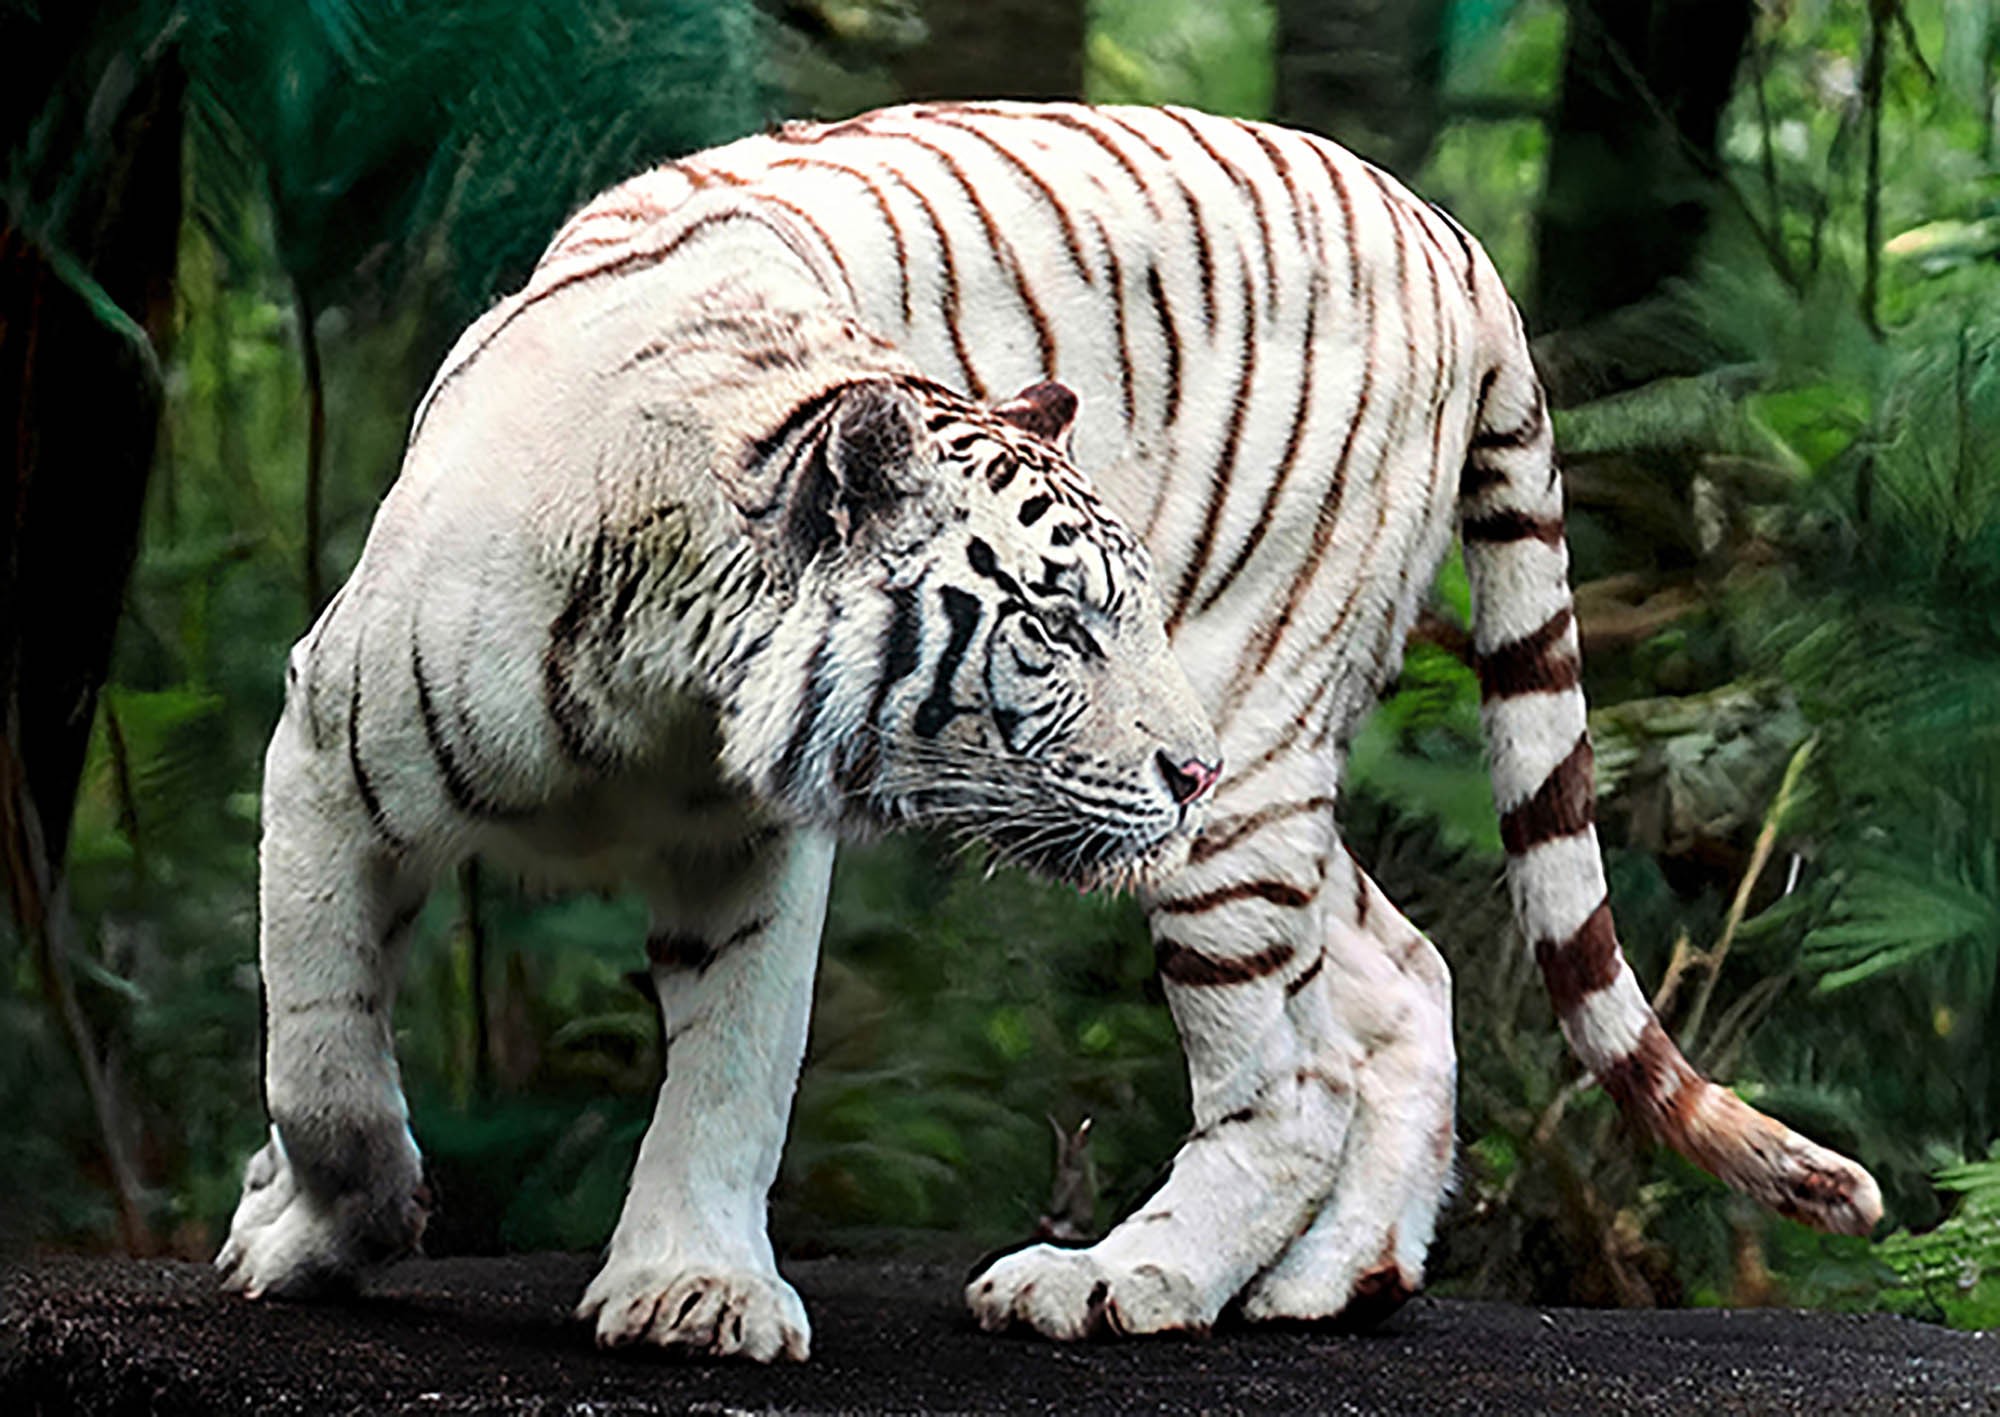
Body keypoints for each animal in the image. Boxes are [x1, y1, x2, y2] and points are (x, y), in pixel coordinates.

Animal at [218, 101, 1881, 1362]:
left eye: (1118, 613)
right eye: (1060, 623)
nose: (1181, 758)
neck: (667, 682)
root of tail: (1455, 240)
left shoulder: (756, 851)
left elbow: (731, 1071)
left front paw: (691, 1291)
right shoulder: (326, 760)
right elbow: (324, 1065)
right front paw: (306, 1223)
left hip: (1248, 762)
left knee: (1293, 1082)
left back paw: (1124, 1280)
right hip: (1267, 791)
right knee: (1401, 976)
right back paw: (1330, 1282)